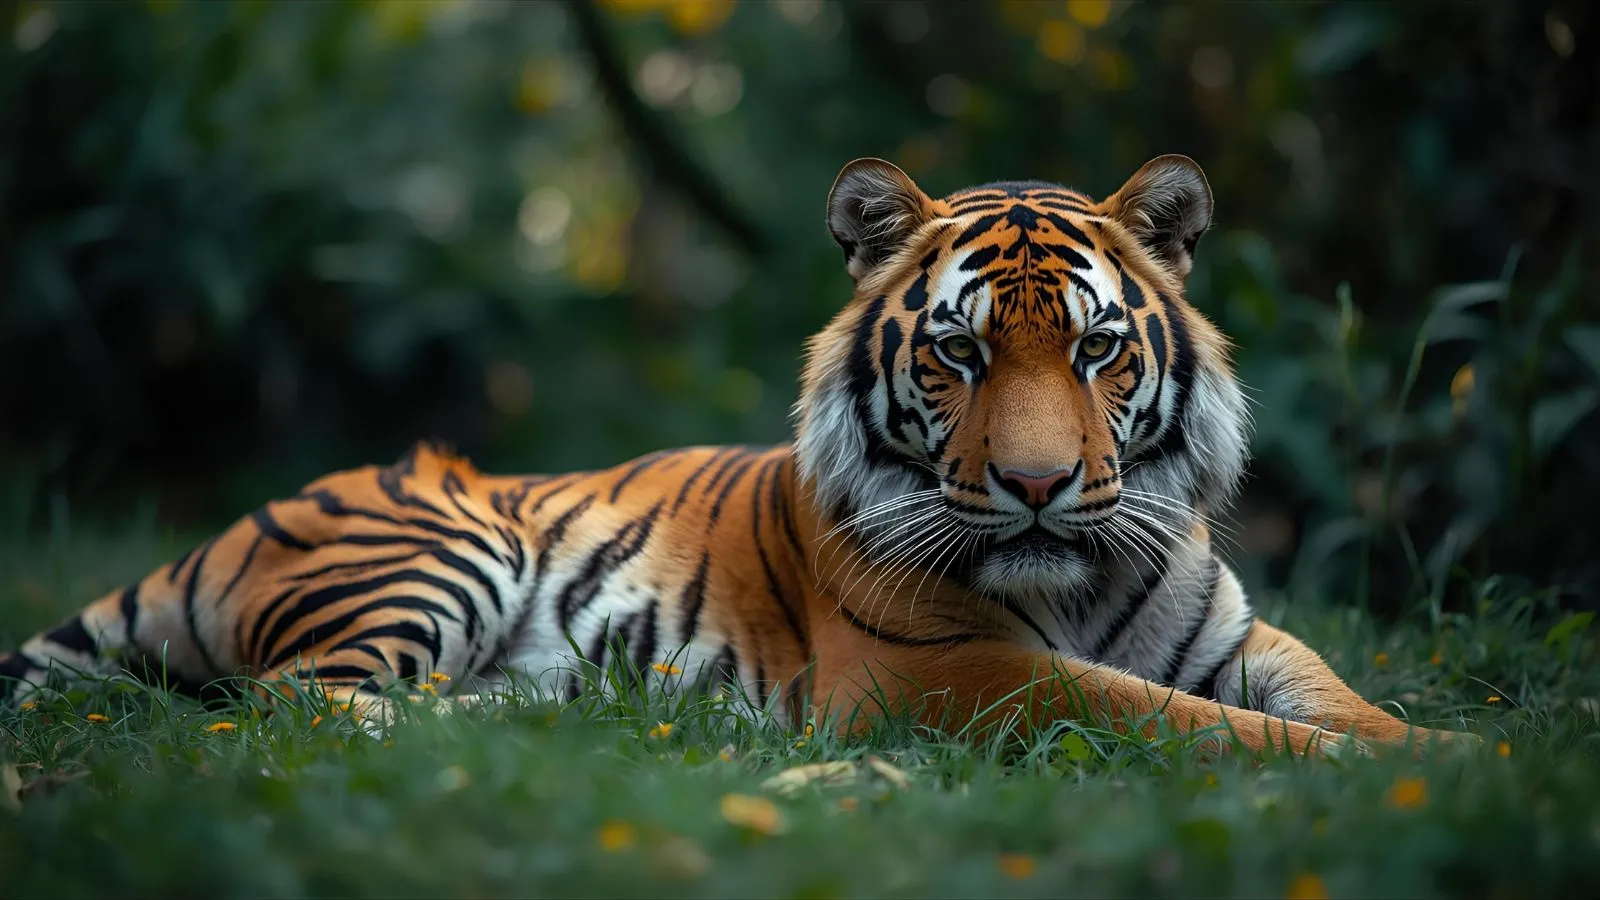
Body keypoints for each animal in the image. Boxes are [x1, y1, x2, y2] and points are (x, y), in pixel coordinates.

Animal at [2, 155, 1475, 757]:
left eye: (1098, 350)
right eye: (959, 354)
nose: (1038, 488)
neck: (1078, 584)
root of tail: (239, 521)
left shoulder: (1243, 639)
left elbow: (1341, 700)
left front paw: (1463, 757)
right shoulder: (942, 678)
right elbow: (1176, 721)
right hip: (439, 548)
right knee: (299, 699)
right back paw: (542, 720)